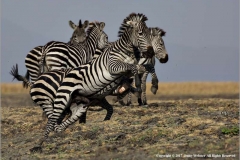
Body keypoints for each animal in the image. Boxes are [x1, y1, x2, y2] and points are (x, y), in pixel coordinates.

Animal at [27, 12, 154, 152]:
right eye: (141, 33)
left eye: (149, 33)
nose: (151, 52)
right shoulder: (113, 66)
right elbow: (134, 68)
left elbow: (137, 71)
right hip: (58, 96)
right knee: (52, 120)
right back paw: (43, 142)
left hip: (75, 102)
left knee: (67, 117)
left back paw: (59, 131)